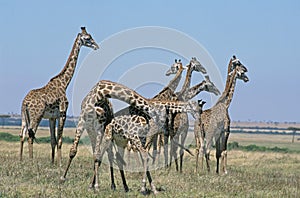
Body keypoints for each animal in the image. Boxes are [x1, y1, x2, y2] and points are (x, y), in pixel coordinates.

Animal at [19, 27, 99, 165]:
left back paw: (20, 160)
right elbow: (60, 140)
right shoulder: (63, 113)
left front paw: (52, 162)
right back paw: (31, 161)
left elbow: (53, 139)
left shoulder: (52, 117)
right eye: (88, 38)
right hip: (37, 115)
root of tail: (25, 103)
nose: (96, 46)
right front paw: (60, 163)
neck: (64, 83)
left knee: (22, 134)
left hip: (24, 117)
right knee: (30, 135)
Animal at [64, 79, 203, 193]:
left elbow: (144, 157)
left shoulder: (141, 138)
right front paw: (144, 187)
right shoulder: (133, 136)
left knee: (112, 157)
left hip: (118, 140)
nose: (199, 122)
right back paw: (92, 185)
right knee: (99, 155)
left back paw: (121, 186)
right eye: (198, 109)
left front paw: (151, 188)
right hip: (103, 133)